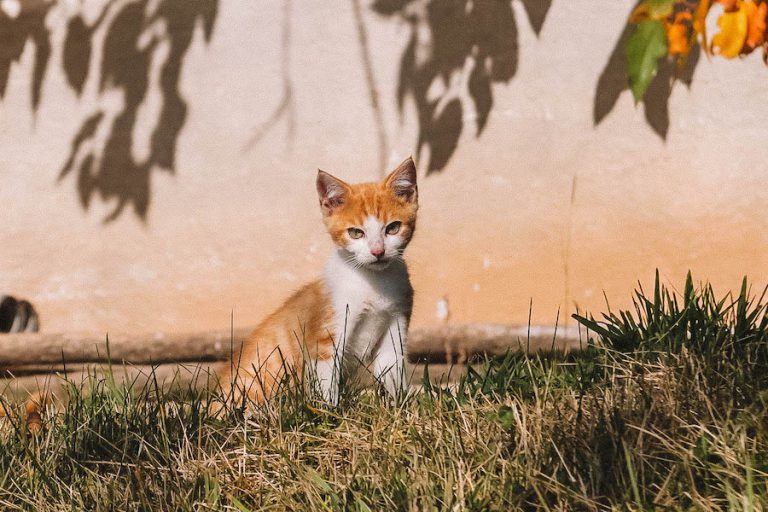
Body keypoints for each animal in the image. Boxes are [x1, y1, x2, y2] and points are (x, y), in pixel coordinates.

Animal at [216, 158, 420, 406]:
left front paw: (397, 406)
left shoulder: (396, 321)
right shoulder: (327, 335)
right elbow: (326, 380)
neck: (373, 281)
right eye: (355, 233)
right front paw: (329, 411)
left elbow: (391, 368)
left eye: (392, 228)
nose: (378, 251)